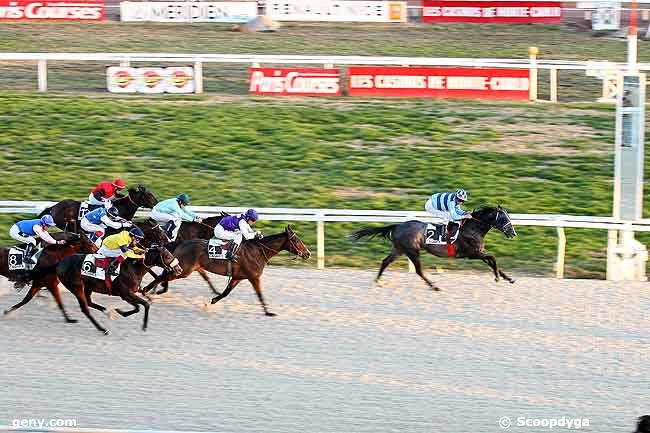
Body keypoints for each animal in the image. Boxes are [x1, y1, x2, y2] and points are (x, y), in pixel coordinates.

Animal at [142, 226, 308, 314]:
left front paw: (212, 301)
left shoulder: (238, 277)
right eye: (296, 240)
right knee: (162, 277)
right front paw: (268, 312)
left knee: (163, 275)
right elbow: (260, 294)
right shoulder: (254, 277)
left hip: (185, 268)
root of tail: (181, 243)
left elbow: (226, 292)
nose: (307, 253)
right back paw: (146, 290)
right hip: (184, 271)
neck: (258, 252)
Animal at [352, 206, 512, 290]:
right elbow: (493, 258)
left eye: (509, 217)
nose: (513, 233)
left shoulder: (479, 252)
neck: (472, 228)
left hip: (399, 249)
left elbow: (492, 262)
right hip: (412, 251)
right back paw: (434, 286)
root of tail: (398, 225)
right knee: (418, 270)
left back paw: (378, 280)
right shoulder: (472, 254)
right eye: (503, 218)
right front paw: (497, 278)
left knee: (385, 261)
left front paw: (508, 278)